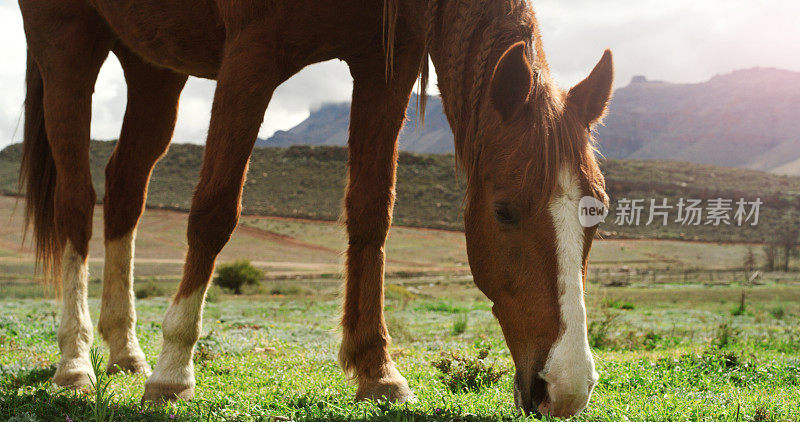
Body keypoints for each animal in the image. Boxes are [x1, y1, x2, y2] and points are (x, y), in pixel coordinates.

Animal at [17, 0, 612, 418]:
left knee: (124, 190)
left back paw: (124, 350)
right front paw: (172, 373)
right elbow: (214, 209)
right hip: (66, 41)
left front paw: (378, 371)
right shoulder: (252, 51)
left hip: (153, 63)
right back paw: (74, 362)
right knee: (76, 201)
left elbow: (372, 211)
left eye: (598, 214)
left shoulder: (385, 62)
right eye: (505, 211)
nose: (566, 388)